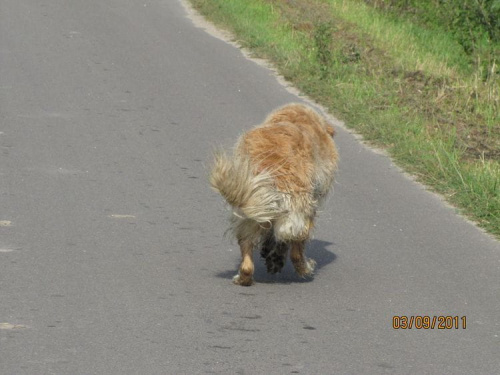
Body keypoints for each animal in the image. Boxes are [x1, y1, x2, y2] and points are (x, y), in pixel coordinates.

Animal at [209, 103, 338, 284]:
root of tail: (272, 170)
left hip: (249, 212)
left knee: (247, 257)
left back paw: (243, 278)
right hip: (301, 214)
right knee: (296, 251)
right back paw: (305, 267)